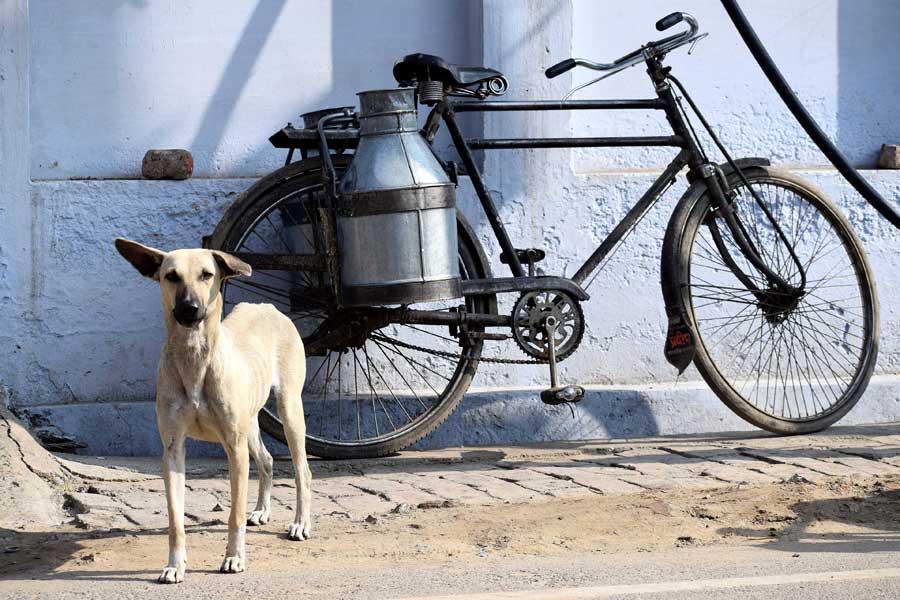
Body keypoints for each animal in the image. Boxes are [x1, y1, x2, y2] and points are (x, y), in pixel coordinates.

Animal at [116, 238, 312, 580]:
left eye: (207, 274)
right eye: (171, 276)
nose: (190, 308)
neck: (195, 359)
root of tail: (267, 306)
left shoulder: (234, 448)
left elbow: (234, 514)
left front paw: (234, 557)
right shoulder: (173, 449)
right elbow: (175, 519)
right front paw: (175, 564)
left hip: (289, 410)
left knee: (302, 470)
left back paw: (300, 522)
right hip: (250, 424)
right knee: (267, 460)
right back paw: (261, 510)